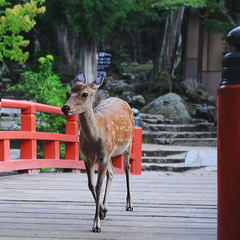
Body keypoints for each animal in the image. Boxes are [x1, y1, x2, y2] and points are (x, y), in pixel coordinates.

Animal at [61, 72, 135, 232]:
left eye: (85, 94)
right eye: (68, 92)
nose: (65, 107)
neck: (94, 140)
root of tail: (122, 100)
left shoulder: (103, 156)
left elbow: (99, 186)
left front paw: (96, 225)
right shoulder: (87, 157)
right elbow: (91, 185)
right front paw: (101, 211)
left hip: (128, 143)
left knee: (127, 167)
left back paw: (130, 204)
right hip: (110, 153)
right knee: (112, 172)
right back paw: (105, 208)